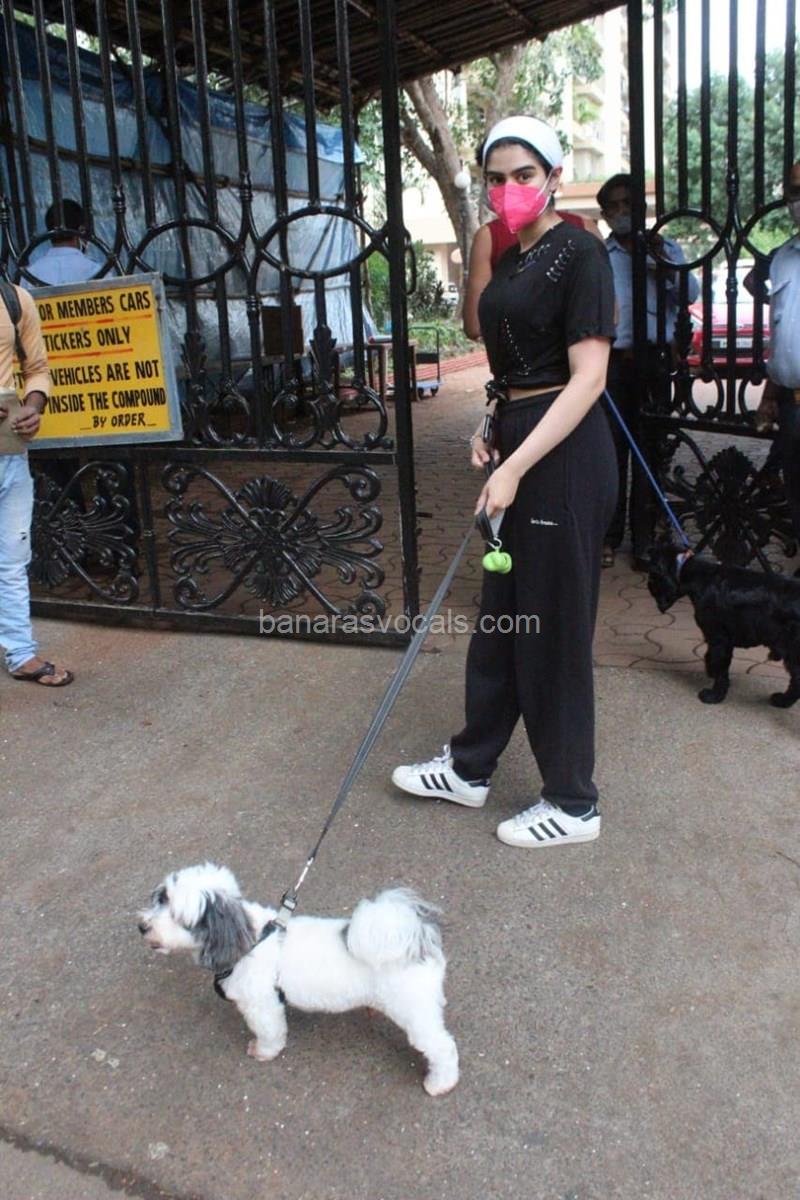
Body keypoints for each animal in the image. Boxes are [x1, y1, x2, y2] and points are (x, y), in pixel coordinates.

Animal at [137, 863, 459, 1096]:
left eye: (179, 917)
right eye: (161, 899)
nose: (143, 926)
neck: (248, 940)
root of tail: (417, 939)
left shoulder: (262, 1006)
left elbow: (270, 1033)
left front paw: (263, 1052)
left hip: (412, 1010)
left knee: (443, 1047)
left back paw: (440, 1083)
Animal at [646, 538, 800, 706]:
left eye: (652, 577)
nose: (648, 586)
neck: (699, 575)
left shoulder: (718, 637)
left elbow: (720, 667)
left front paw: (714, 695)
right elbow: (713, 657)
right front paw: (711, 671)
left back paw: (783, 700)